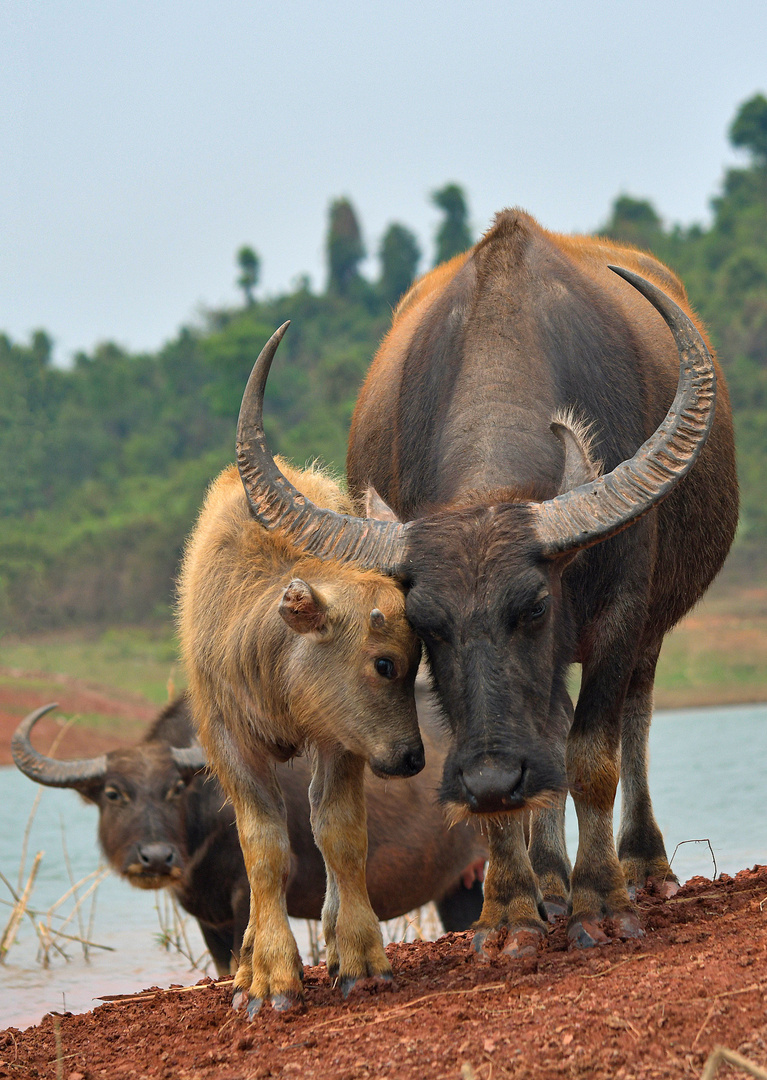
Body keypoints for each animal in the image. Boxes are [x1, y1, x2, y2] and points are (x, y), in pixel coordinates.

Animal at [12, 691, 486, 980]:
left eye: (175, 788)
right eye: (113, 794)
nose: (157, 858)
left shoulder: (248, 894)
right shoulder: (207, 917)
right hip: (458, 888)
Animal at [176, 324, 425, 1015]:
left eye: (420, 656)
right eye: (383, 662)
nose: (412, 757)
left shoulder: (340, 738)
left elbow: (338, 833)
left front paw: (360, 957)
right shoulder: (226, 741)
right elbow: (264, 850)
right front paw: (269, 977)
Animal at [233, 208, 738, 954]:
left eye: (534, 607)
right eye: (426, 624)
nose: (493, 775)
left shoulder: (620, 615)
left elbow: (594, 756)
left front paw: (601, 902)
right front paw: (512, 910)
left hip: (648, 630)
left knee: (633, 718)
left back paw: (643, 866)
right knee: (549, 726)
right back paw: (550, 882)